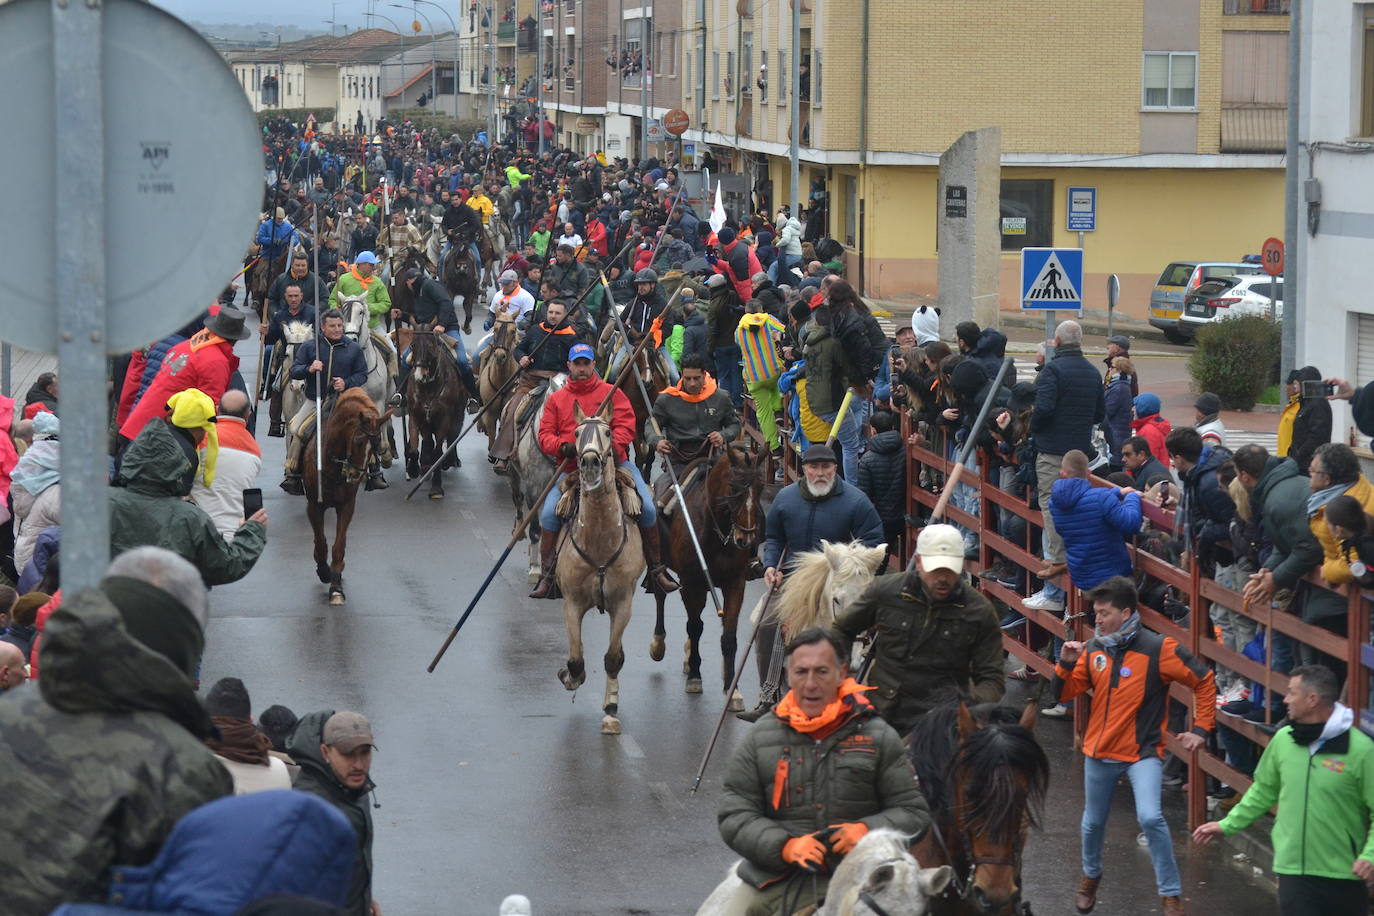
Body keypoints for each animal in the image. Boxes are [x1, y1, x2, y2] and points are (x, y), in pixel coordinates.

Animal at [303, 390, 395, 604]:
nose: (355, 474)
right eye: (359, 441)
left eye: (376, 443)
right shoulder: (314, 506)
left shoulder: (347, 506)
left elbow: (339, 545)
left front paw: (336, 587)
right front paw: (324, 571)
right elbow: (321, 541)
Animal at [401, 328, 467, 502]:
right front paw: (414, 468)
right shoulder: (417, 415)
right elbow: (417, 446)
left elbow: (438, 450)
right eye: (412, 345)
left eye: (431, 346)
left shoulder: (444, 419)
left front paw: (436, 487)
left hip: (458, 416)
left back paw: (450, 460)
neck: (429, 388)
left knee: (452, 438)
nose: (419, 375)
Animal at [651, 444, 763, 708]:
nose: (746, 539)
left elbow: (729, 636)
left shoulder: (735, 583)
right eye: (733, 487)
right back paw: (659, 643)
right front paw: (695, 676)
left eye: (760, 487)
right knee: (660, 595)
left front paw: (732, 688)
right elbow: (695, 627)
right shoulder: (690, 583)